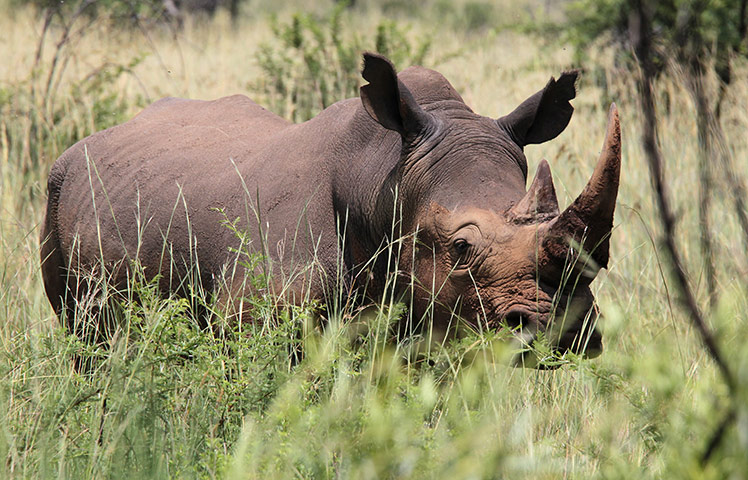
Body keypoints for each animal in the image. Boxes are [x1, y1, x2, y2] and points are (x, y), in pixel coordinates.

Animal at [40, 53, 621, 365]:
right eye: (460, 247)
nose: (565, 331)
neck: (383, 178)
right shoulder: (253, 322)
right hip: (56, 188)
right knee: (85, 343)